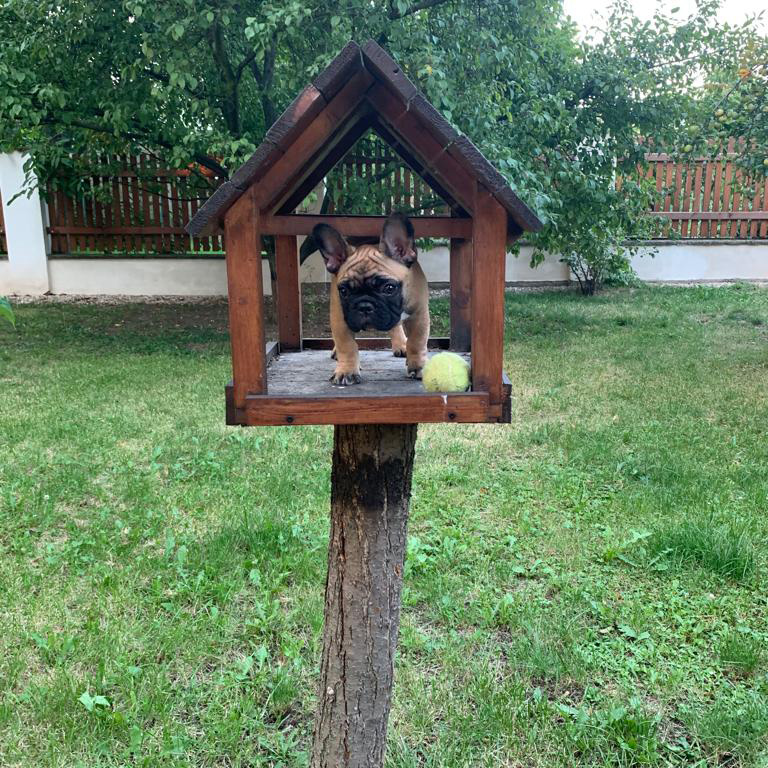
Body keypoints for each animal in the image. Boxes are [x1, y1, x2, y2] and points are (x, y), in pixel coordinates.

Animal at [312, 213, 430, 386]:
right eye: (344, 291)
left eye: (389, 288)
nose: (364, 306)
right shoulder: (340, 318)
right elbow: (346, 345)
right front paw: (347, 371)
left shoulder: (419, 314)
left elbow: (417, 342)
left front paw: (418, 366)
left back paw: (402, 345)